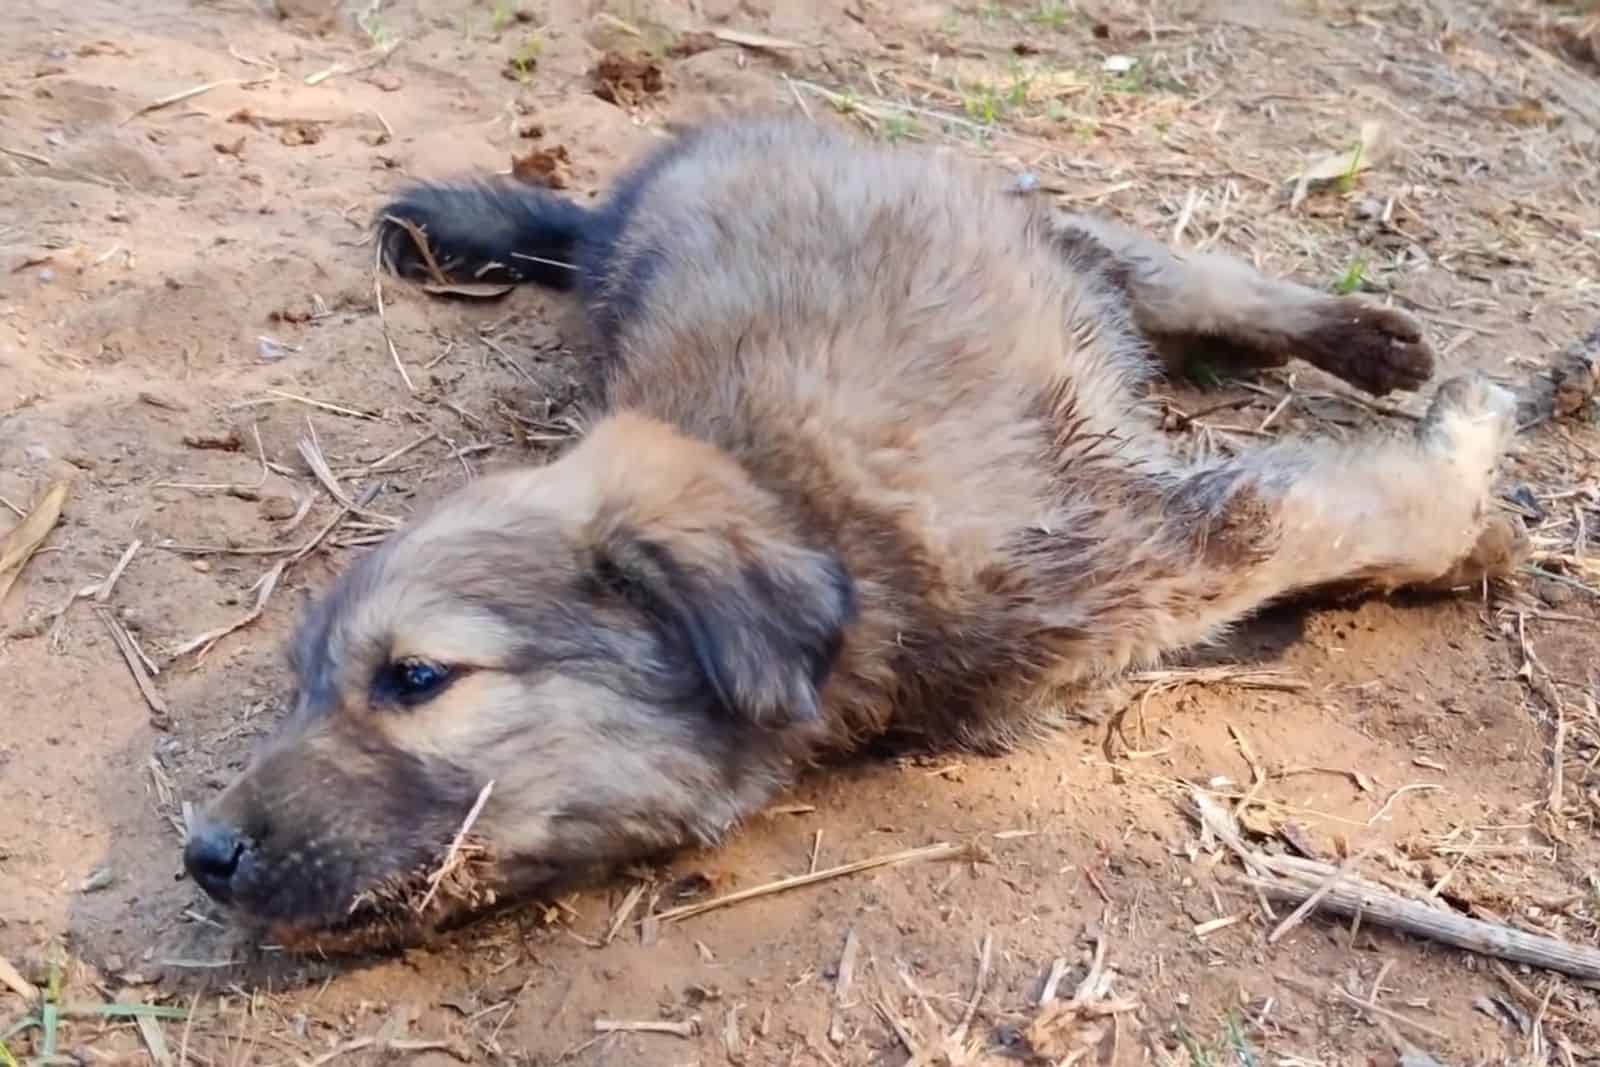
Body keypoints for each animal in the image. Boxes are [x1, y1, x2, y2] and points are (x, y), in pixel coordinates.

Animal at [178, 110, 1523, 953]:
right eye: (300, 686)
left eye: (416, 677)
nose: (203, 854)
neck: (797, 507)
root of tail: (643, 188)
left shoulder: (1171, 532)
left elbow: (1356, 506)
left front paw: (1464, 496)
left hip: (1025, 223)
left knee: (1174, 274)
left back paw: (1359, 336)